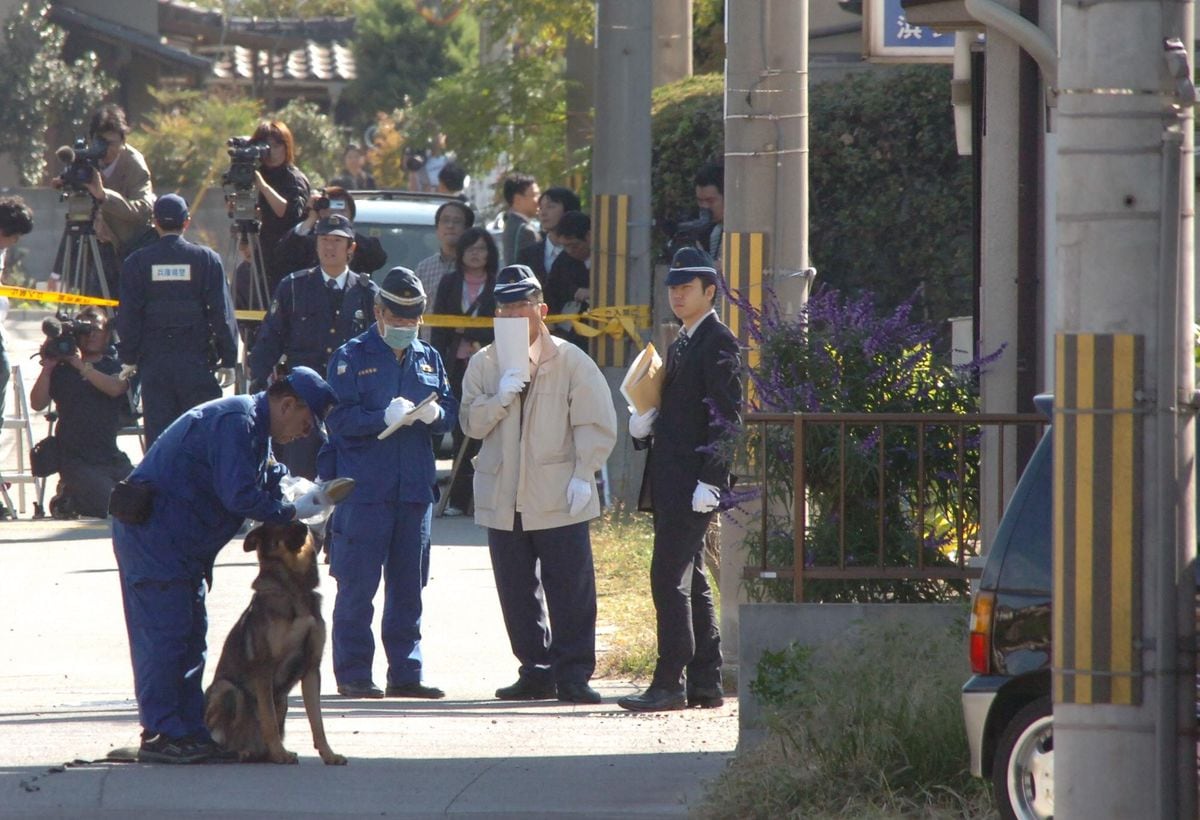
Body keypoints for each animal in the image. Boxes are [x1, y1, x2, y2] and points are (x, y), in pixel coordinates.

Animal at [204, 523, 345, 768]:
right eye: (281, 523)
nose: (305, 526)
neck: (294, 589)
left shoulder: (311, 670)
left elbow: (317, 722)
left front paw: (329, 754)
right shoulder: (264, 669)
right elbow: (268, 720)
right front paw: (280, 753)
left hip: (283, 701)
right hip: (227, 690)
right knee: (221, 737)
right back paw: (240, 752)